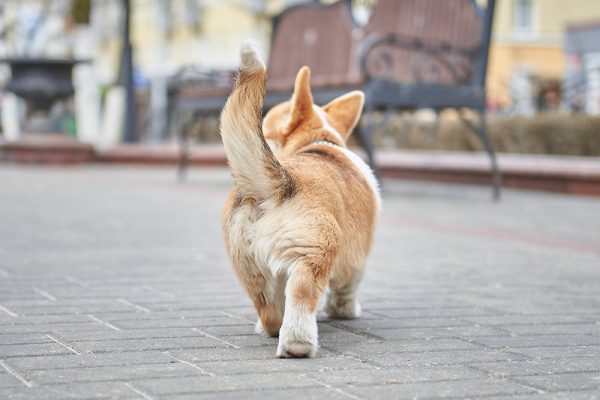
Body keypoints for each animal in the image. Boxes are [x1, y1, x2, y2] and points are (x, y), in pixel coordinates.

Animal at [220, 42, 380, 358]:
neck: (316, 142)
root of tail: (278, 184)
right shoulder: (356, 259)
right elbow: (348, 287)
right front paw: (345, 310)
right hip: (315, 252)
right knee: (302, 295)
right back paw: (298, 344)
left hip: (248, 266)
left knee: (269, 311)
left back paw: (269, 329)